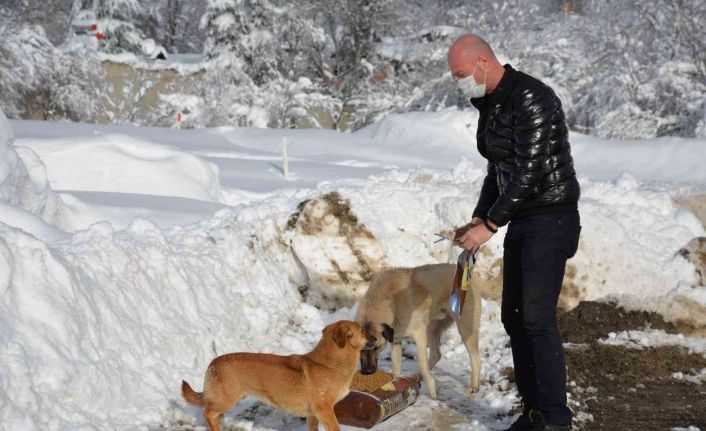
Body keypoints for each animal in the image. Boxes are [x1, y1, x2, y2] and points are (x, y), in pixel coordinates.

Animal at [181, 320, 371, 431]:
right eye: (362, 331)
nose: (374, 338)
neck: (329, 363)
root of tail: (212, 364)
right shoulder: (323, 409)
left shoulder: (313, 415)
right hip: (226, 400)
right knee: (207, 412)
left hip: (224, 402)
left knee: (214, 415)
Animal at [355, 263, 484, 398]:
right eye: (359, 349)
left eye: (377, 347)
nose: (366, 372)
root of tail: (472, 277)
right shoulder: (396, 339)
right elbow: (396, 365)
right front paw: (395, 384)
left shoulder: (419, 334)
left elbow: (422, 364)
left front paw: (432, 388)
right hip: (432, 327)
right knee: (436, 354)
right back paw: (417, 377)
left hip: (465, 327)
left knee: (476, 359)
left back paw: (473, 387)